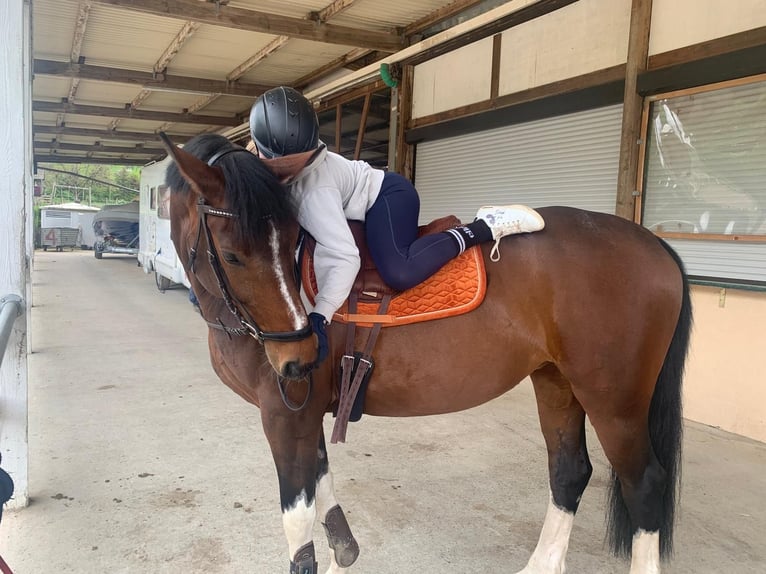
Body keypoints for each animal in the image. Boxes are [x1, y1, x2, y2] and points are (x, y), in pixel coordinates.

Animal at [159, 134, 692, 574]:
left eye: (292, 239)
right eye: (233, 255)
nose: (301, 358)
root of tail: (652, 242)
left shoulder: (284, 413)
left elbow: (299, 524)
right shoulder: (306, 412)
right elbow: (324, 487)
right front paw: (344, 547)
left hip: (614, 400)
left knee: (644, 483)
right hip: (557, 382)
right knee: (569, 472)